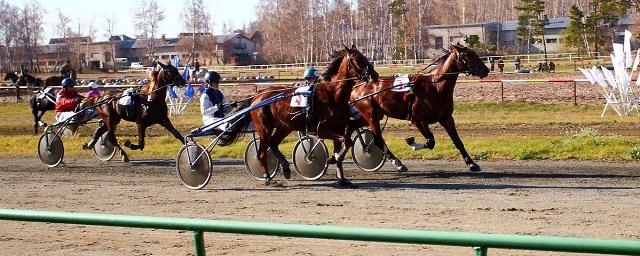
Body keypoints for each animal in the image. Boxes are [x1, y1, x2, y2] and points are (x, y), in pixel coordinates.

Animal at [221, 45, 370, 187]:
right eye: (357, 58)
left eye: (364, 55)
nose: (372, 73)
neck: (333, 94)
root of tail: (257, 96)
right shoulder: (321, 130)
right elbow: (347, 142)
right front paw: (331, 161)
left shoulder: (339, 128)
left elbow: (342, 148)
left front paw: (342, 178)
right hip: (264, 129)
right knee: (262, 152)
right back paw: (268, 178)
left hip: (284, 127)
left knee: (273, 143)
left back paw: (286, 169)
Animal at [344, 42, 490, 172]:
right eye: (469, 55)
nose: (486, 70)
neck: (435, 87)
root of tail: (357, 86)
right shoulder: (418, 120)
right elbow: (430, 142)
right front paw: (411, 142)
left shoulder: (446, 118)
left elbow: (458, 141)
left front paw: (471, 163)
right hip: (371, 115)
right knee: (377, 140)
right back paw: (397, 162)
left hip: (373, 115)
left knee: (352, 129)